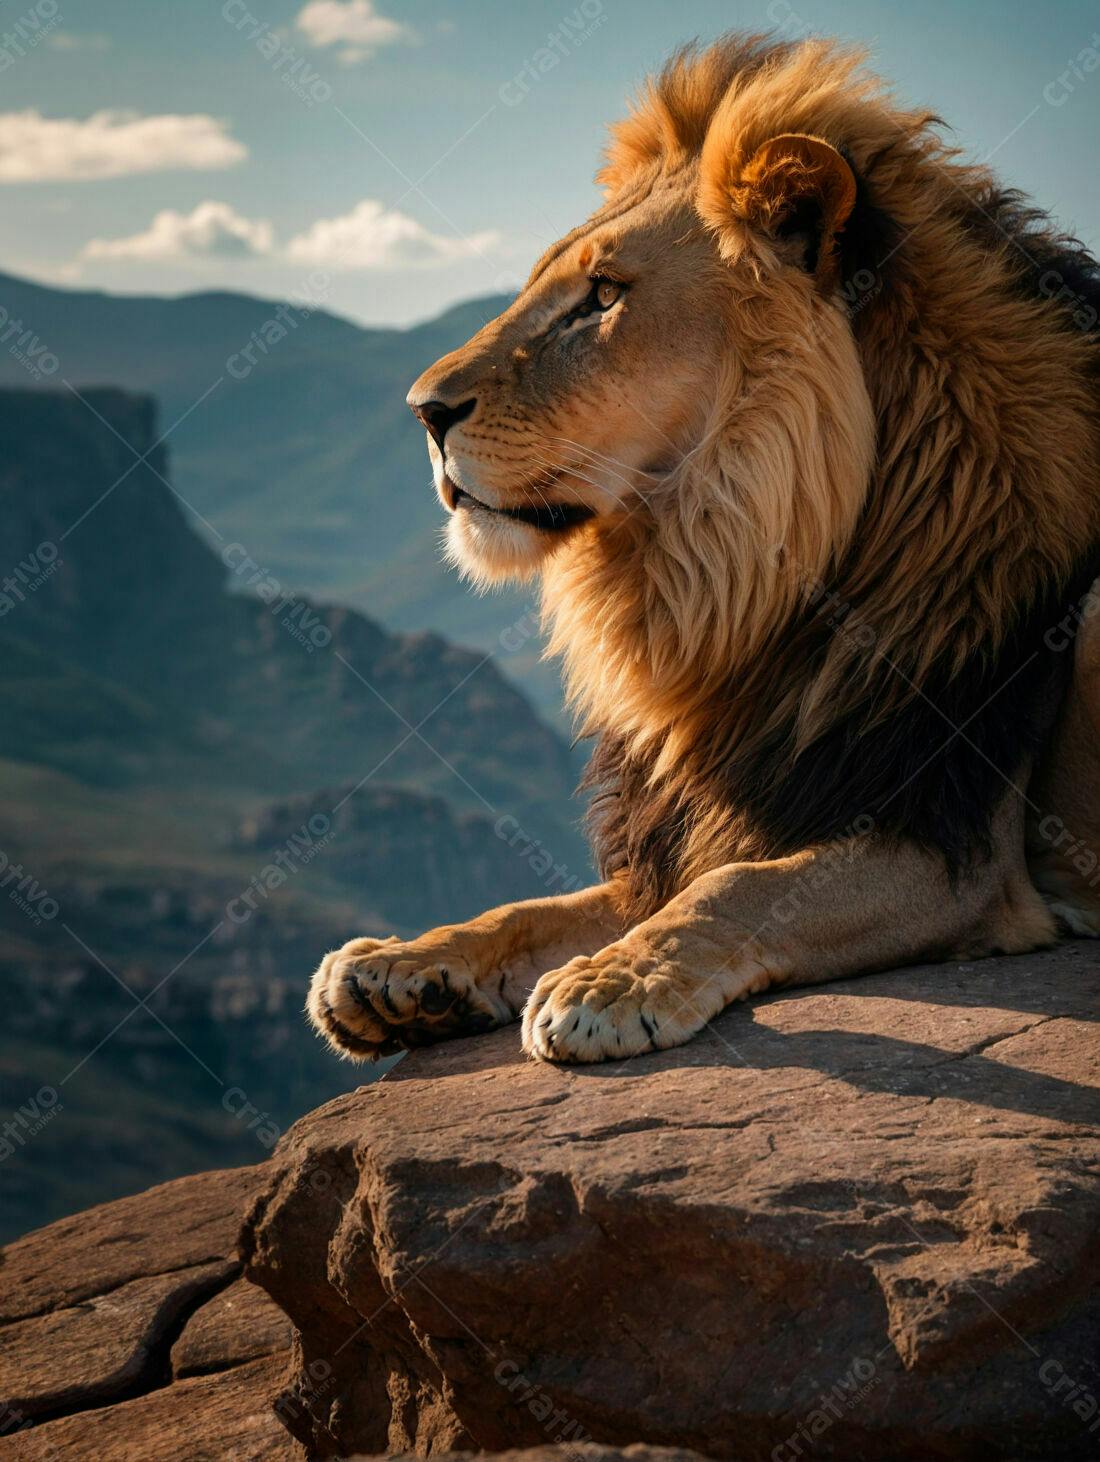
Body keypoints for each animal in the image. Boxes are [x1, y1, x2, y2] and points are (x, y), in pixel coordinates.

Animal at [309, 33, 1100, 1065]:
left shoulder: (956, 848)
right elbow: (543, 907)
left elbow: (738, 890)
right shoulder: (697, 817)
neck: (725, 588)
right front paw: (400, 967)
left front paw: (612, 983)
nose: (422, 411)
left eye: (603, 296)